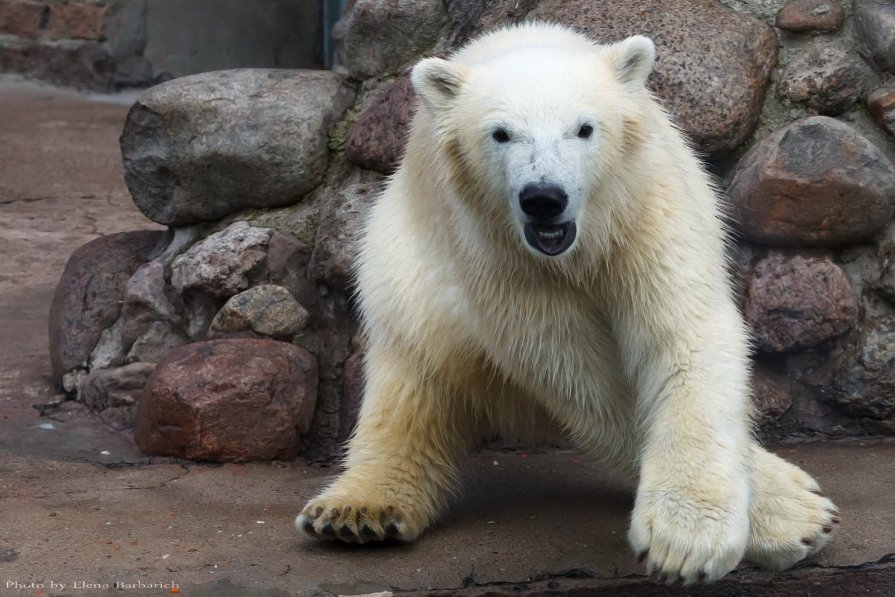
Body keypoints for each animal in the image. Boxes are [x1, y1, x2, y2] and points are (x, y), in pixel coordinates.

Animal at [298, 23, 844, 584]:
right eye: (501, 133)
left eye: (583, 129)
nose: (544, 197)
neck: (579, 248)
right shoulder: (497, 254)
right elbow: (571, 369)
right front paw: (793, 516)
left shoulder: (643, 210)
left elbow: (681, 334)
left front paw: (694, 540)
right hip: (400, 269)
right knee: (412, 379)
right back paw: (356, 511)